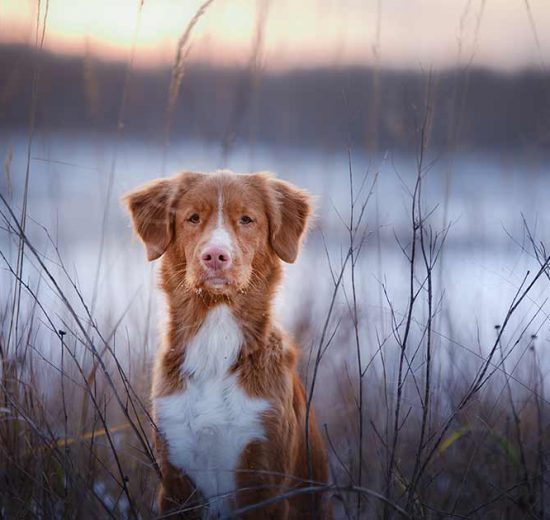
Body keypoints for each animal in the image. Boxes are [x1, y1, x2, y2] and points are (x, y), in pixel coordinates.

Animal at [124, 170, 330, 516]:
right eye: (193, 218)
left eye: (246, 219)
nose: (215, 256)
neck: (215, 340)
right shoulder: (176, 480)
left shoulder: (264, 479)